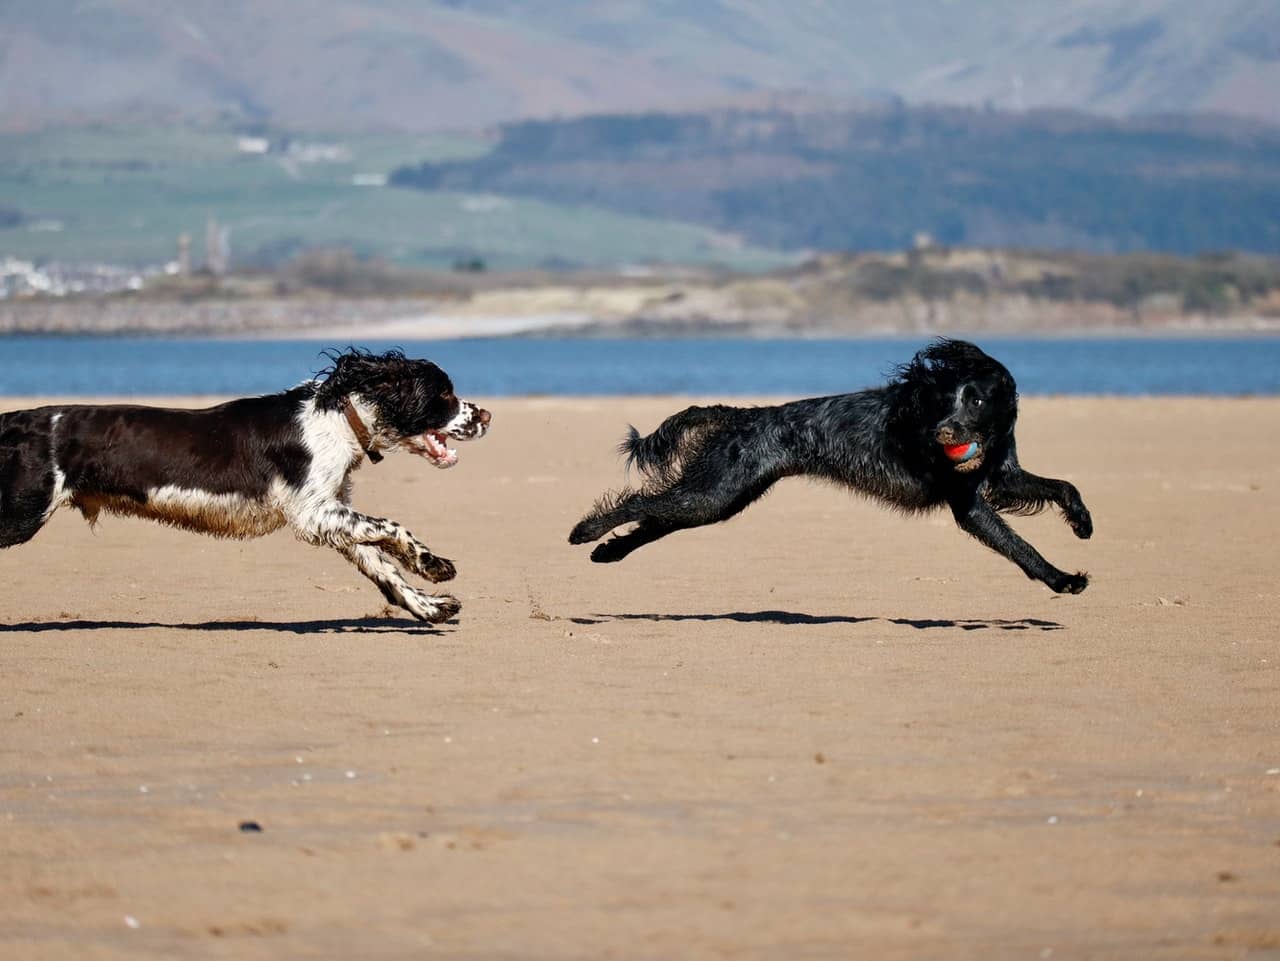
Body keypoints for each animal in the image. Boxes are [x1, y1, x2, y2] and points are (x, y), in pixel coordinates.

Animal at [0, 348, 488, 624]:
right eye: (444, 395)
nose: (486, 415)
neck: (336, 419)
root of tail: (17, 420)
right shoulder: (313, 512)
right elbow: (392, 526)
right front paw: (434, 564)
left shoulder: (332, 513)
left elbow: (384, 570)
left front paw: (431, 606)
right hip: (22, 511)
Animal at [576, 337, 1095, 593]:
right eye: (945, 401)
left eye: (978, 400)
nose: (944, 433)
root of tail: (740, 414)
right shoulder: (968, 503)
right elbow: (1019, 546)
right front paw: (1063, 579)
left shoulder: (1003, 478)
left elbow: (1062, 486)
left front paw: (1082, 523)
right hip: (714, 492)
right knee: (640, 503)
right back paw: (585, 531)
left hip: (721, 497)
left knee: (654, 517)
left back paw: (608, 552)